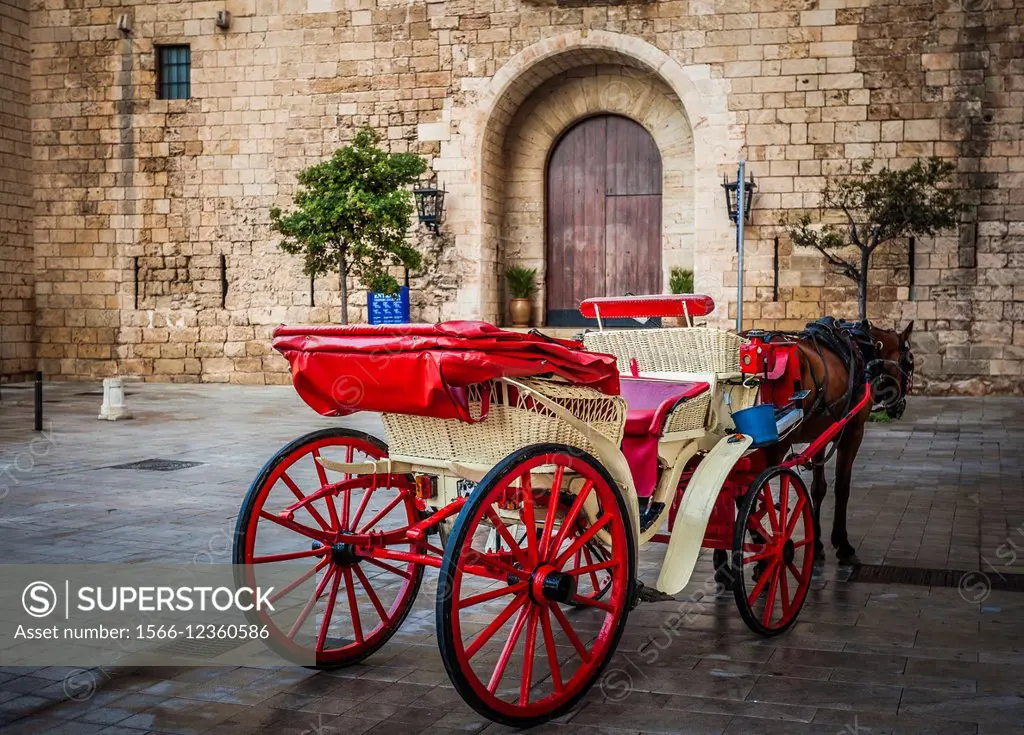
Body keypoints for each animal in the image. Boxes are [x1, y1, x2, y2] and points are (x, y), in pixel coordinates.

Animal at [765, 319, 917, 569]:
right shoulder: (853, 432)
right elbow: (842, 487)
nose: (899, 407)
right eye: (910, 361)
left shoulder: (820, 434)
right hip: (777, 444)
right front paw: (843, 545)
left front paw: (817, 544)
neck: (863, 348)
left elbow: (818, 488)